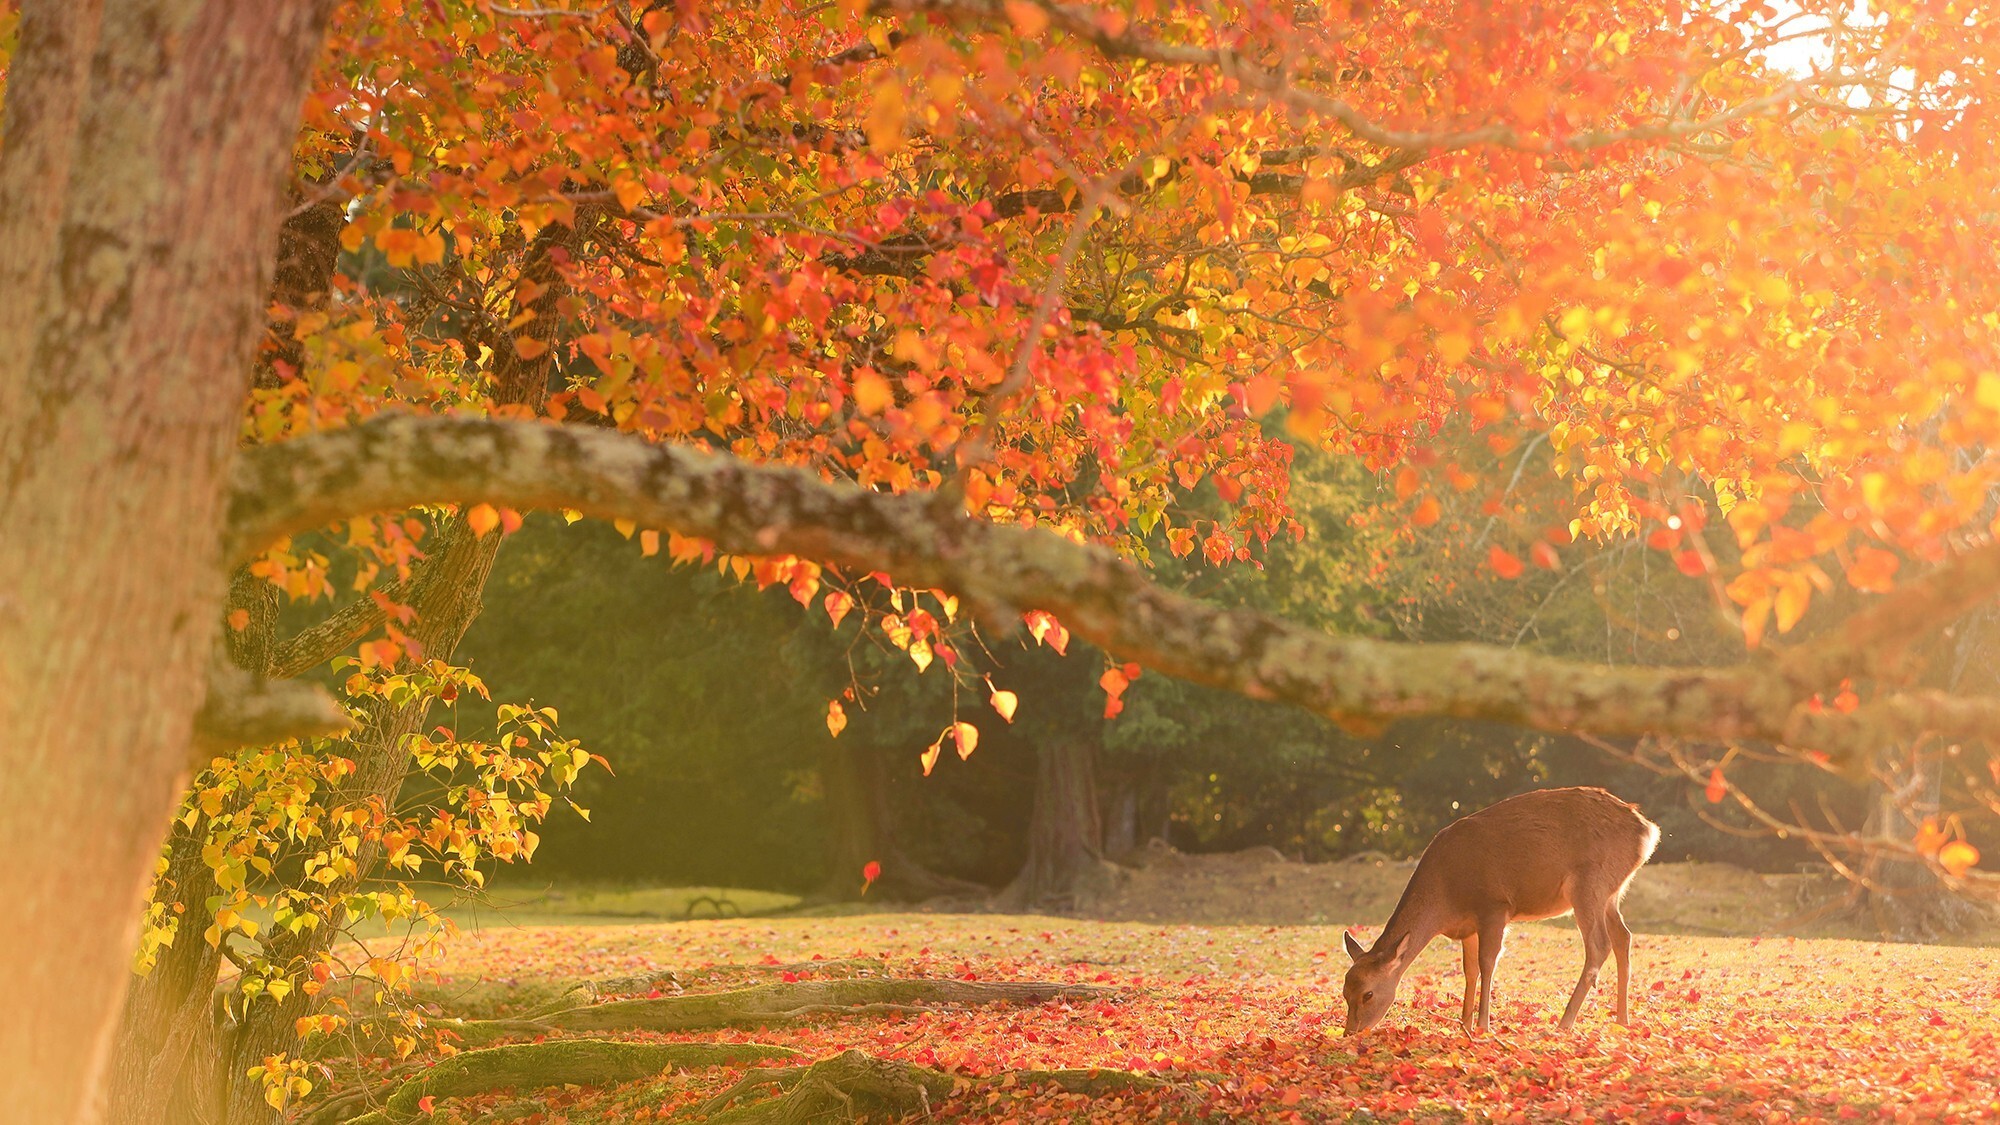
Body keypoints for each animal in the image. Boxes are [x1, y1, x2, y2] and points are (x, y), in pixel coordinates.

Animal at [1344, 780, 1656, 1032]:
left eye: (1368, 994)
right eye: (1345, 991)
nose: (1351, 1032)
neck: (1446, 899)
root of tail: (1648, 831)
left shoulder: (1493, 906)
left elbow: (1488, 962)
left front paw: (1483, 1025)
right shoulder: (1467, 927)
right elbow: (1469, 970)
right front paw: (1464, 1024)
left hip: (1588, 883)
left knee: (1599, 944)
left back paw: (1564, 1024)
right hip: (1612, 892)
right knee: (1623, 936)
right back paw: (1622, 1020)